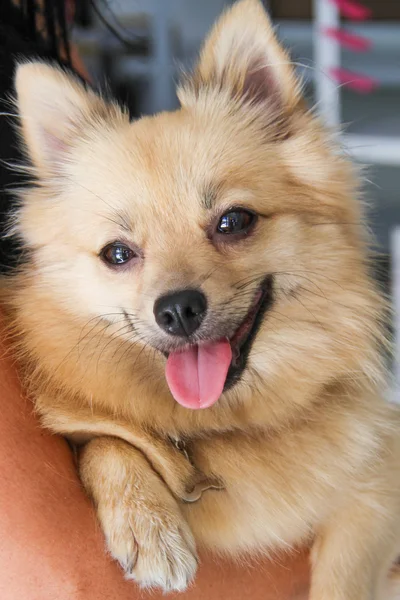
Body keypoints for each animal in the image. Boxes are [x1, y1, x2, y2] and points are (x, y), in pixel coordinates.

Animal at [2, 1, 400, 596]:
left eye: (233, 221)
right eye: (118, 254)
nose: (177, 310)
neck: (215, 422)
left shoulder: (378, 489)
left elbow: (342, 578)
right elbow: (106, 440)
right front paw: (148, 524)